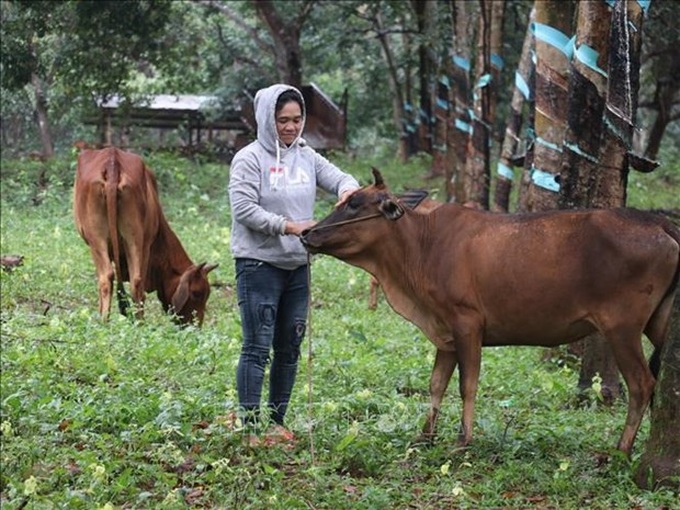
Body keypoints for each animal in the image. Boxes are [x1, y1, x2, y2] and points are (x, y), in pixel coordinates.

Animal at [72, 146, 216, 326]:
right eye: (198, 293)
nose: (196, 326)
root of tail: (112, 162)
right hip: (131, 239)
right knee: (134, 281)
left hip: (103, 240)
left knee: (109, 278)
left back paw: (110, 322)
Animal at [304, 167, 680, 454]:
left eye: (354, 204)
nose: (308, 233)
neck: (421, 247)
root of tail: (659, 224)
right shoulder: (445, 334)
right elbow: (436, 384)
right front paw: (425, 435)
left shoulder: (466, 321)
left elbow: (466, 384)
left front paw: (462, 440)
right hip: (658, 320)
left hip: (622, 326)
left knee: (643, 384)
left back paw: (620, 450)